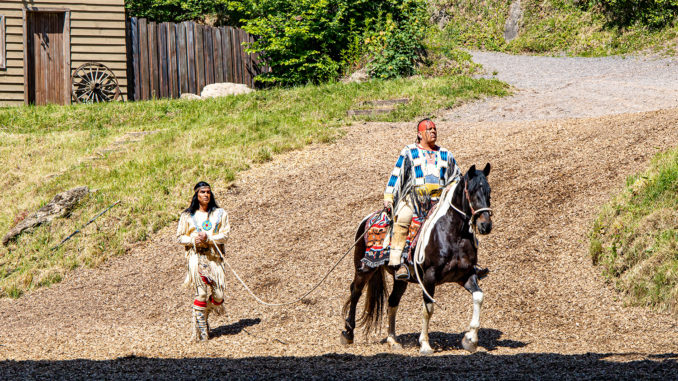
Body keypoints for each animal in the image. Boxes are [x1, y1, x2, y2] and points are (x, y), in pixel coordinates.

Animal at [340, 163, 494, 354]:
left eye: (489, 191)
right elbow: (428, 309)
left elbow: (479, 297)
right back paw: (348, 333)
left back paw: (393, 340)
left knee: (392, 301)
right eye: (471, 192)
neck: (453, 235)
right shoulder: (429, 277)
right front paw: (425, 344)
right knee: (355, 292)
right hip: (364, 268)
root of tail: (367, 220)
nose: (485, 225)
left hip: (400, 279)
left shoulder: (466, 276)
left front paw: (470, 340)